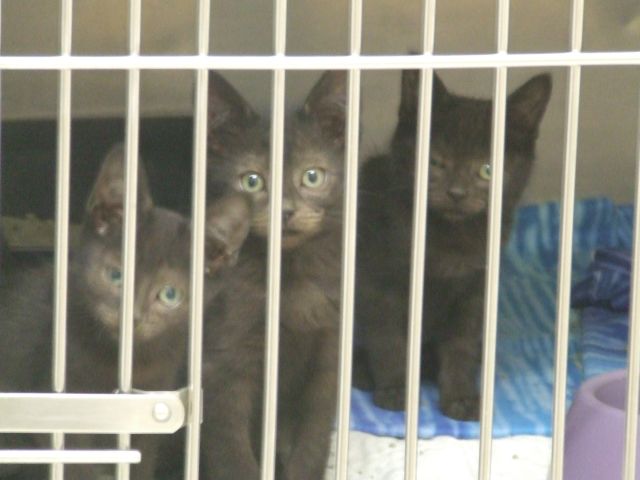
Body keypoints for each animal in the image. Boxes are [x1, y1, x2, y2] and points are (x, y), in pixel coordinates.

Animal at [0, 144, 251, 479]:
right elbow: (76, 465)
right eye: (115, 275)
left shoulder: (151, 407)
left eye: (170, 294)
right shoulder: (59, 409)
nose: (132, 317)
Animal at [200, 70, 346, 480]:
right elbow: (230, 452)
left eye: (312, 176)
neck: (288, 278)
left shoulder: (327, 355)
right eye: (251, 181)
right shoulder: (222, 362)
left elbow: (312, 442)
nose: (286, 211)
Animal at [355, 70, 552, 420]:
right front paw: (395, 390)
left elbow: (461, 344)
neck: (449, 239)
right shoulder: (378, 283)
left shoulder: (475, 290)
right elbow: (388, 337)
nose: (457, 193)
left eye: (487, 169)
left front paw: (460, 396)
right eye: (434, 162)